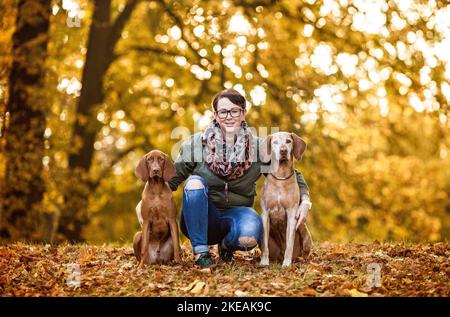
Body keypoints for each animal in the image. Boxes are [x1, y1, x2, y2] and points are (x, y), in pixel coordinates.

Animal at [258, 131, 312, 266]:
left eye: (288, 141)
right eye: (275, 142)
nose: (283, 151)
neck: (281, 178)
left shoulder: (292, 214)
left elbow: (289, 244)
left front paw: (287, 264)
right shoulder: (265, 213)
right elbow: (265, 245)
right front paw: (264, 262)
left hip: (304, 231)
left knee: (304, 253)